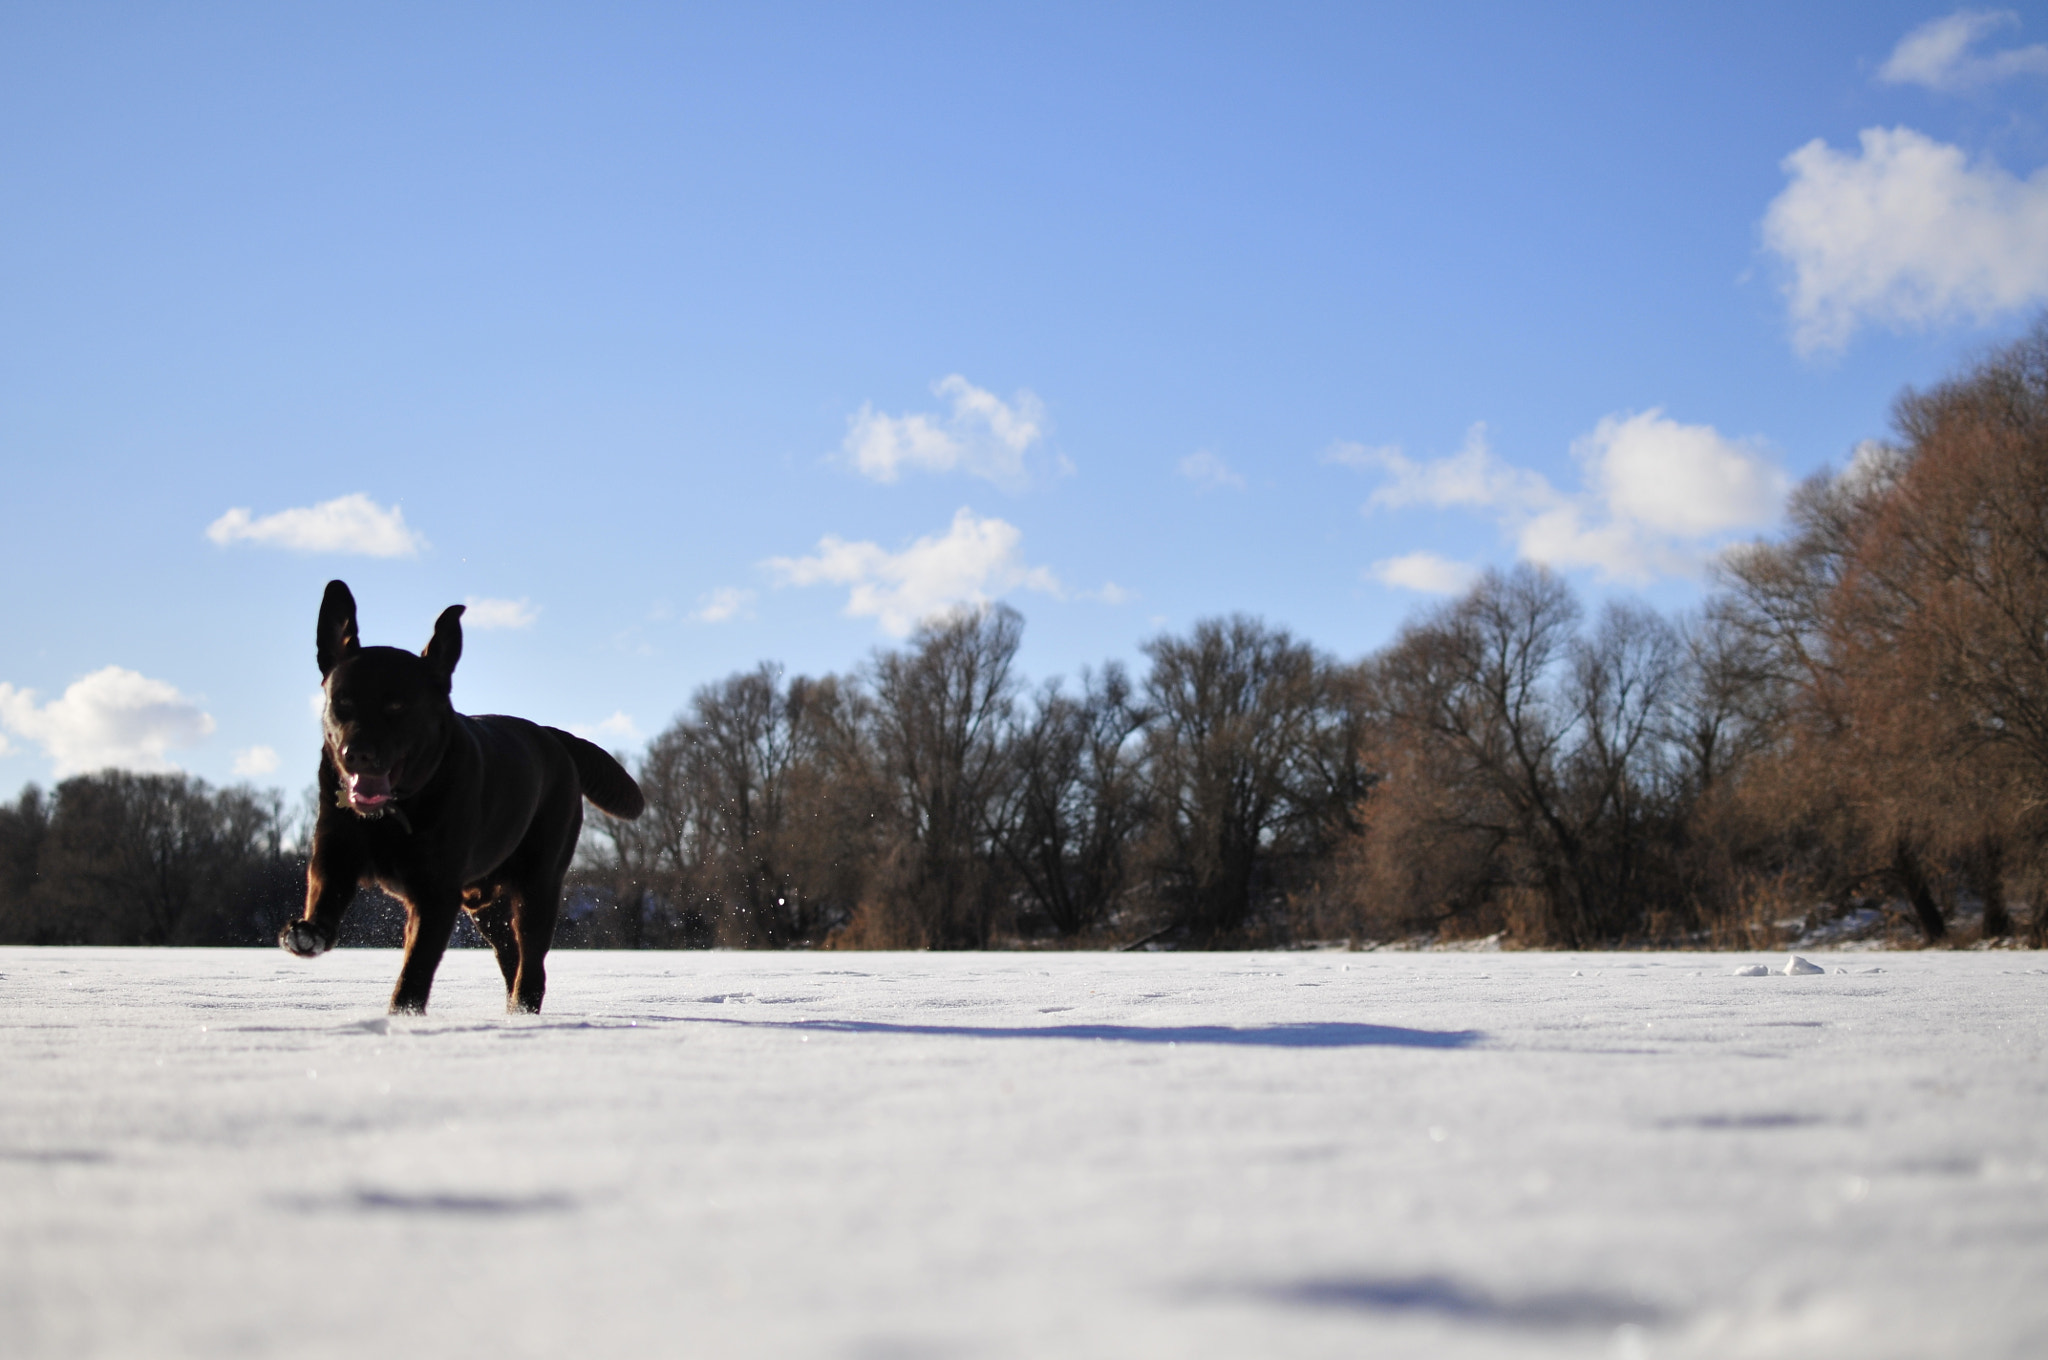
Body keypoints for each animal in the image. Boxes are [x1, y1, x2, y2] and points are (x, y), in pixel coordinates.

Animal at [280, 577, 643, 1015]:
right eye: (342, 702)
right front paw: (309, 932)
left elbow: (416, 968)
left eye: (397, 706)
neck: (397, 811)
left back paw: (524, 1009)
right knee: (511, 953)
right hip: (485, 905)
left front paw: (403, 1016)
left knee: (531, 959)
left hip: (538, 883)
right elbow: (325, 891)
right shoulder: (336, 849)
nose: (357, 753)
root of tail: (553, 736)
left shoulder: (436, 894)